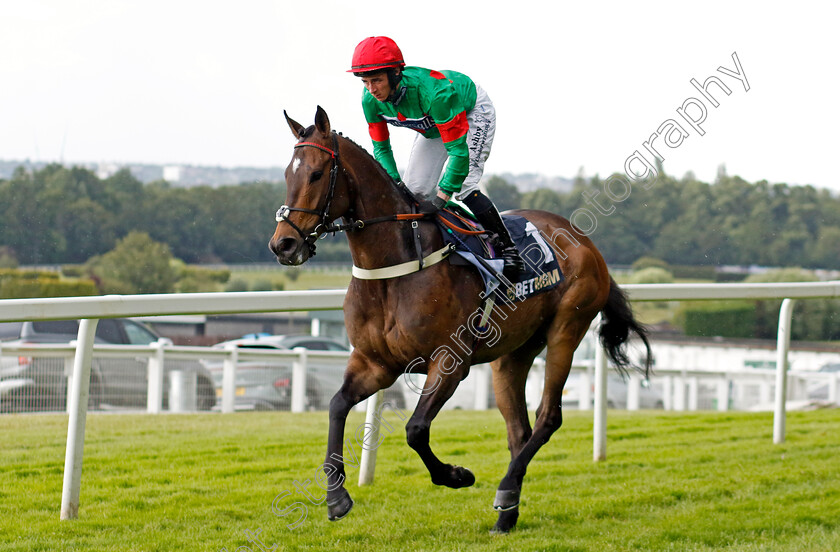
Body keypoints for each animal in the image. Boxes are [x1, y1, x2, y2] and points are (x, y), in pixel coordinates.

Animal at [268, 105, 648, 532]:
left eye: (317, 174)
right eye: (288, 174)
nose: (284, 244)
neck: (395, 267)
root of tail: (584, 241)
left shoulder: (450, 362)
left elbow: (415, 430)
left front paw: (456, 475)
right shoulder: (376, 363)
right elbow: (336, 406)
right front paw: (336, 497)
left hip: (567, 329)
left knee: (548, 417)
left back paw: (505, 491)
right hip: (513, 353)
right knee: (519, 430)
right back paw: (507, 512)